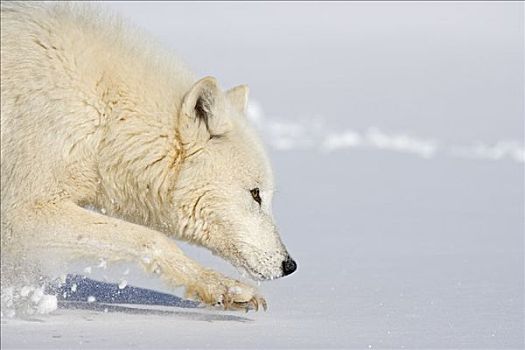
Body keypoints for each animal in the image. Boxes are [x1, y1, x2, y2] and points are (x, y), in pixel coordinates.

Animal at [0, 1, 296, 310]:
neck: (106, 116)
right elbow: (153, 240)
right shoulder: (22, 213)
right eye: (255, 194)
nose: (290, 265)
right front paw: (222, 286)